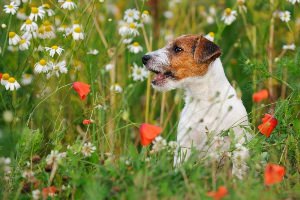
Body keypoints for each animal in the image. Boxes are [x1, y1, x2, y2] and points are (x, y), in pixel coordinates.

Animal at [143, 34, 251, 180]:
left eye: (178, 49)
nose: (144, 58)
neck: (205, 100)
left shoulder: (239, 142)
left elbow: (237, 170)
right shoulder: (185, 144)